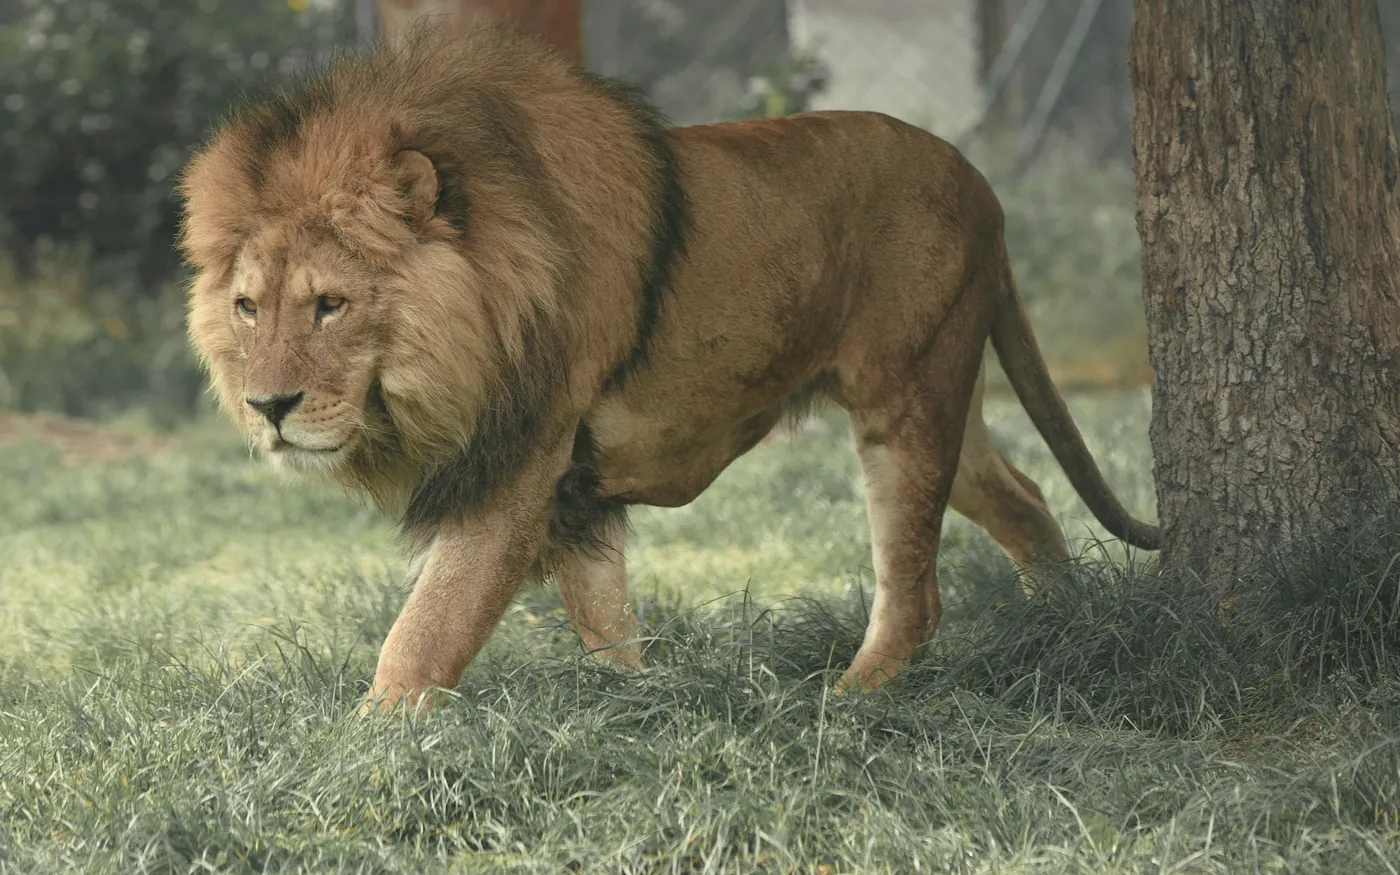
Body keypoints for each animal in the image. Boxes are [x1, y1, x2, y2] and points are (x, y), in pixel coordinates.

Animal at [178, 23, 1160, 714]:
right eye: (248, 307)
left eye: (330, 304)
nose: (268, 406)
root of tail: (981, 184)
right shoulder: (571, 488)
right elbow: (604, 619)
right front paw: (638, 706)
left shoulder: (521, 461)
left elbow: (427, 628)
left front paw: (366, 744)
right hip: (943, 387)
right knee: (1021, 493)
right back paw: (1064, 623)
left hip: (906, 396)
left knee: (915, 590)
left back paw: (843, 703)